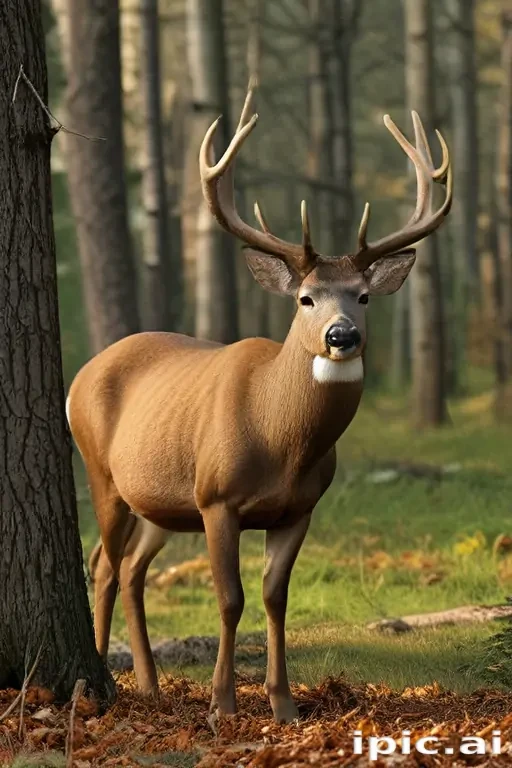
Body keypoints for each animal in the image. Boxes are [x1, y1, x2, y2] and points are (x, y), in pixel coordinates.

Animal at [67, 85, 452, 723]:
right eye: (305, 298)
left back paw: (148, 684)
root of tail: (81, 374)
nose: (342, 335)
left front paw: (284, 704)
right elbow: (230, 598)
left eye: (364, 296)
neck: (281, 439)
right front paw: (222, 704)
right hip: (103, 472)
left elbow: (275, 597)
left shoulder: (298, 508)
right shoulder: (216, 498)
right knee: (101, 565)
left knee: (129, 567)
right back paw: (98, 684)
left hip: (160, 502)